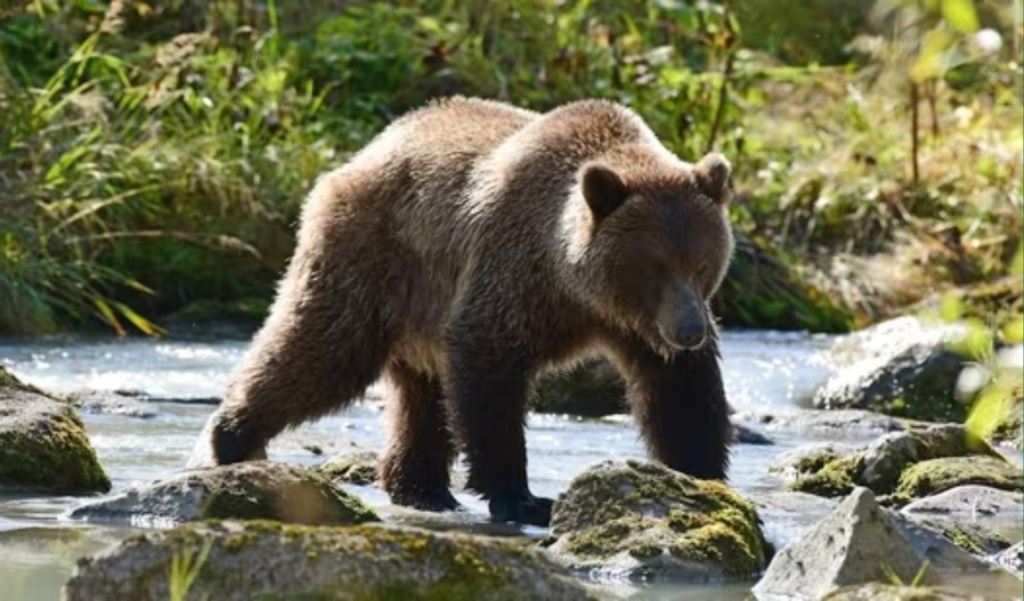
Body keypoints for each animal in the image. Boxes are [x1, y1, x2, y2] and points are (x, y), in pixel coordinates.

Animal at [186, 96, 736, 528]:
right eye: (654, 265)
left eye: (702, 263)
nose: (690, 329)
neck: (576, 287)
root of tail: (363, 154)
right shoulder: (514, 273)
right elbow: (489, 366)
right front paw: (523, 497)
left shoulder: (638, 326)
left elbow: (680, 392)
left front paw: (702, 476)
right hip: (373, 260)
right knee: (322, 350)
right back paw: (232, 438)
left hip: (417, 306)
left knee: (420, 395)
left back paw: (421, 486)